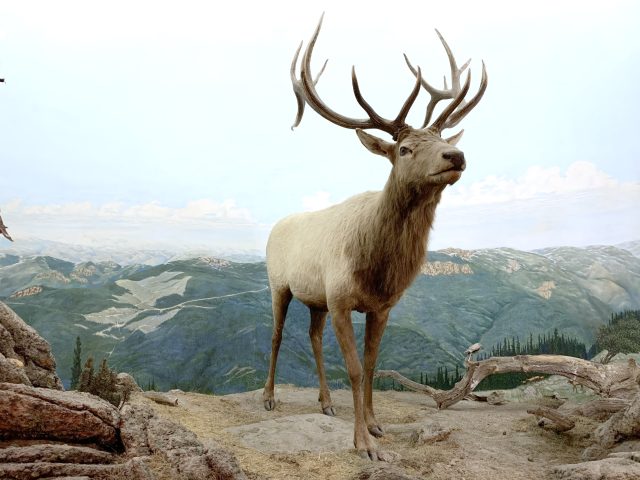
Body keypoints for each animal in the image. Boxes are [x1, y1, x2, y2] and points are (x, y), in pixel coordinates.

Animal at [263, 15, 487, 460]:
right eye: (403, 148)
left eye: (442, 139)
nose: (456, 156)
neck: (376, 266)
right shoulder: (341, 298)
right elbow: (352, 367)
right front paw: (363, 444)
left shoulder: (381, 306)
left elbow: (370, 364)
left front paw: (374, 424)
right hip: (280, 283)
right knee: (277, 334)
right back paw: (269, 396)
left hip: (315, 298)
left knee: (313, 337)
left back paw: (326, 402)